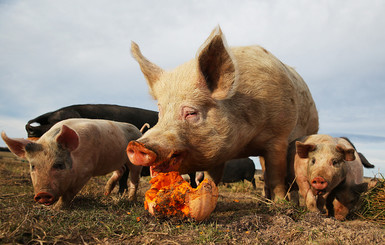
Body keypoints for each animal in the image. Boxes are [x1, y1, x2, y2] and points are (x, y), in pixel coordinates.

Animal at [1, 118, 142, 209]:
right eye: (33, 166)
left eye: (59, 165)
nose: (42, 194)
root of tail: (138, 130)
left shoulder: (86, 171)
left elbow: (70, 192)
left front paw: (56, 209)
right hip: (116, 159)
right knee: (121, 170)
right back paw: (106, 193)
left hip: (134, 162)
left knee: (134, 179)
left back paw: (131, 201)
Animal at [126, 26, 318, 201]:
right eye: (161, 111)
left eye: (191, 112)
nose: (137, 145)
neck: (244, 143)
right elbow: (211, 178)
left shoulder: (279, 136)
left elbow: (276, 176)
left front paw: (281, 204)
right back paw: (266, 199)